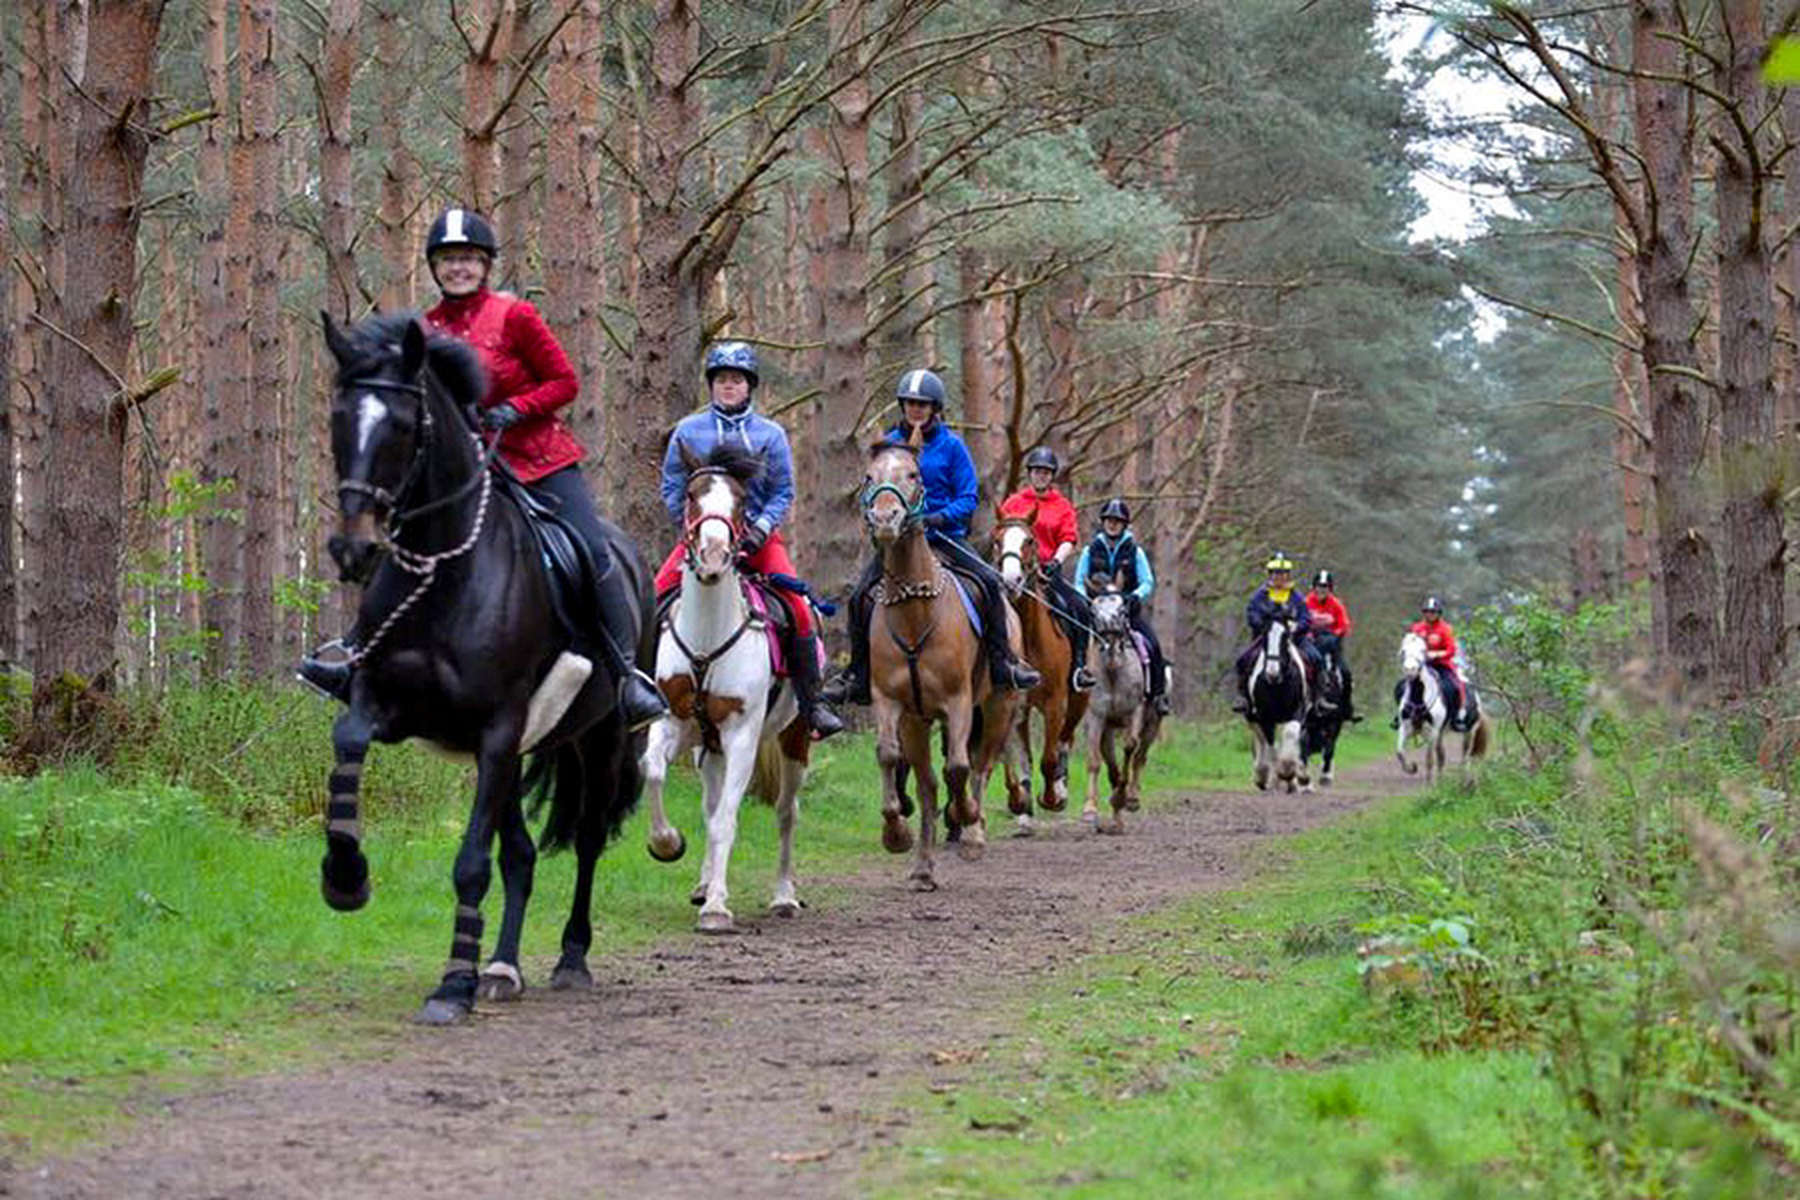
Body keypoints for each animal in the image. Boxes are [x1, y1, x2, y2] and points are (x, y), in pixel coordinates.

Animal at [640, 444, 810, 935]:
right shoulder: (673, 720)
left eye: (740, 500)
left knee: (786, 812)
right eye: (692, 495)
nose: (714, 556)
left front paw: (717, 909)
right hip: (707, 746)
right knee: (709, 801)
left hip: (794, 737)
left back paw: (783, 896)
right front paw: (667, 843)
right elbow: (653, 771)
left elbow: (725, 821)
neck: (707, 638)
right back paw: (702, 884)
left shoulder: (741, 737)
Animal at [860, 444, 1022, 892]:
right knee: (928, 784)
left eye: (913, 475)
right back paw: (922, 868)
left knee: (980, 766)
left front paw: (965, 819)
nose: (885, 519)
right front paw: (895, 835)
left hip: (998, 706)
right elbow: (888, 756)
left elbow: (960, 767)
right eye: (869, 477)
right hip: (917, 722)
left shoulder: (958, 702)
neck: (915, 610)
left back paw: (972, 832)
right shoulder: (890, 702)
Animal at [993, 510, 1087, 834]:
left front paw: (1051, 798)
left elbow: (1048, 758)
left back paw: (1060, 788)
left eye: (1030, 540)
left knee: (1065, 741)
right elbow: (1016, 760)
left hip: (1078, 700)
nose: (1011, 580)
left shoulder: (1055, 703)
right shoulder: (1012, 704)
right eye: (997, 540)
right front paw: (1020, 805)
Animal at [1072, 582, 1159, 834]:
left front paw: (1123, 797)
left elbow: (1130, 747)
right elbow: (1094, 760)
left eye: (1121, 610)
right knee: (1112, 765)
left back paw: (1130, 799)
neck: (1113, 669)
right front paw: (1090, 810)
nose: (1109, 632)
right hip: (1109, 728)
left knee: (1140, 757)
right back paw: (1116, 815)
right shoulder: (1096, 716)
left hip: (1153, 722)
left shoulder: (1135, 711)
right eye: (1093, 611)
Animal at [1389, 629, 1490, 788]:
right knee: (1441, 755)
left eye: (1423, 650)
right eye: (1404, 650)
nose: (1410, 670)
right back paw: (1442, 779)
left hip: (1469, 732)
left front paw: (1430, 784)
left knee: (1465, 756)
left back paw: (1464, 780)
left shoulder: (1433, 731)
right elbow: (1399, 752)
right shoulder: (1405, 727)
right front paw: (1412, 768)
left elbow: (1429, 758)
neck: (1419, 696)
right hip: (1441, 733)